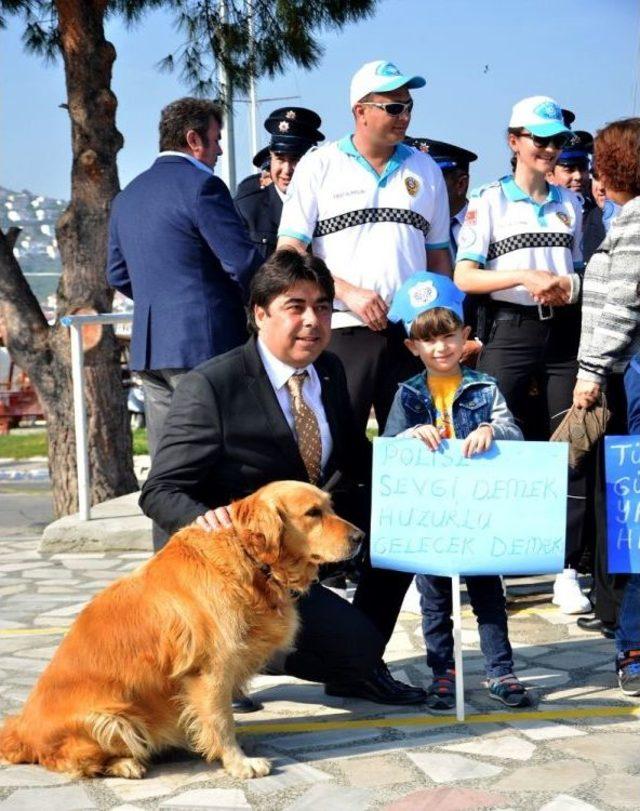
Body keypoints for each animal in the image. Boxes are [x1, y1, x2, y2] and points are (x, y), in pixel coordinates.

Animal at [0, 482, 362, 780]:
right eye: (313, 513)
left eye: (330, 506)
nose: (360, 537)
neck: (248, 557)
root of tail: (21, 730)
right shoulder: (210, 670)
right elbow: (221, 720)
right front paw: (239, 763)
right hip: (113, 719)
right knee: (71, 760)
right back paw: (125, 764)